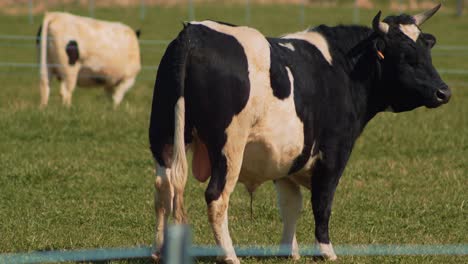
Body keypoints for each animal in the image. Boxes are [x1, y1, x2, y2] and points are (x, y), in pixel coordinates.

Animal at [150, 3, 450, 262]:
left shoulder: (286, 158)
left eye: (427, 53)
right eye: (407, 58)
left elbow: (290, 205)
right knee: (217, 197)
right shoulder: (333, 154)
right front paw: (326, 251)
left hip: (164, 137)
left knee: (164, 188)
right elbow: (322, 203)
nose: (444, 92)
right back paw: (229, 255)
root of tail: (193, 33)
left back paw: (158, 251)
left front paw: (288, 250)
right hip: (228, 148)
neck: (343, 67)